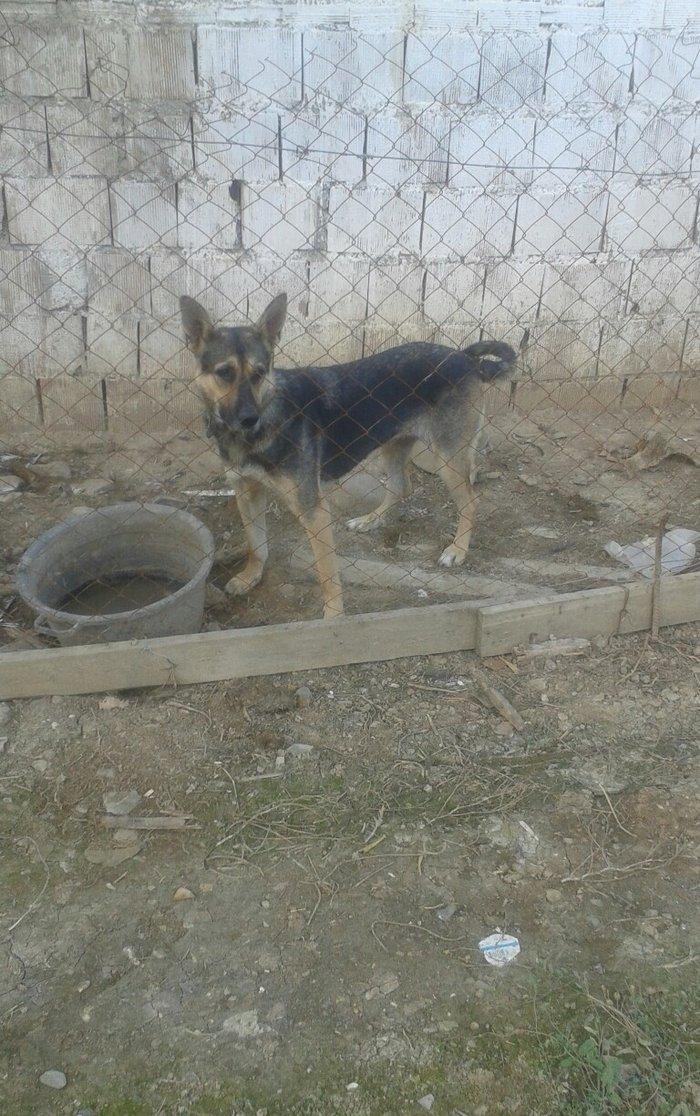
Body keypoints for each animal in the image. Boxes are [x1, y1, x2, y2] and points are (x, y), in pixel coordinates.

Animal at [180, 293, 516, 619]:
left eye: (259, 373)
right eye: (224, 373)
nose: (250, 419)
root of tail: (465, 357)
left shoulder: (314, 510)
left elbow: (327, 574)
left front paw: (334, 618)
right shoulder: (246, 491)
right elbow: (256, 544)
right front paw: (249, 577)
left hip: (447, 457)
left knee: (470, 501)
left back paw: (457, 550)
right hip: (393, 444)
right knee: (401, 486)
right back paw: (370, 520)